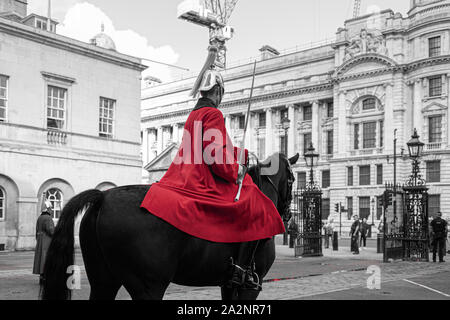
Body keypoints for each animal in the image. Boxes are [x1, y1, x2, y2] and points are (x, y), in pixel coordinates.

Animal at [42, 152, 298, 300]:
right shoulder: (249, 287)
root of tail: (103, 197)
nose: (286, 215)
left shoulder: (227, 285)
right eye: (293, 179)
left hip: (103, 280)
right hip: (148, 286)